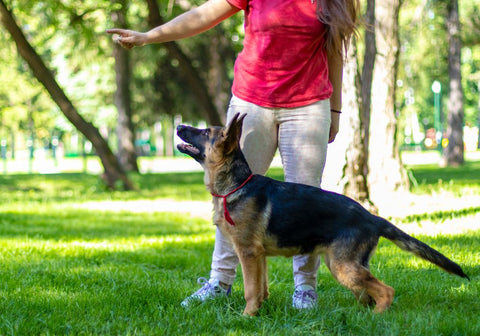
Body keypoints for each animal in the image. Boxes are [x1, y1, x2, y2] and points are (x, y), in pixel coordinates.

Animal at [177, 114, 468, 316]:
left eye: (204, 132)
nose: (178, 126)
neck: (236, 184)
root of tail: (372, 217)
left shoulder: (247, 252)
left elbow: (250, 290)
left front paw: (246, 317)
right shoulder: (259, 257)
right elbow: (260, 288)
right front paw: (259, 312)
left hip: (343, 267)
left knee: (386, 291)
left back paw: (375, 318)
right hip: (345, 266)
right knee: (367, 293)